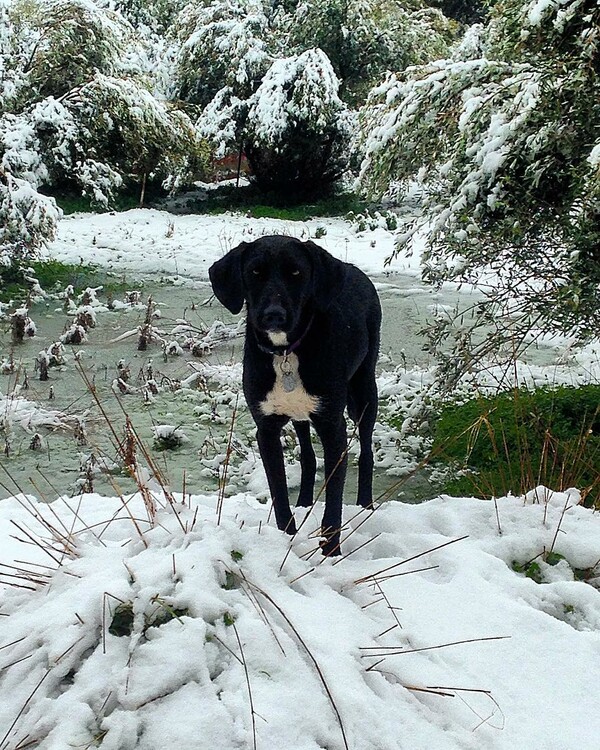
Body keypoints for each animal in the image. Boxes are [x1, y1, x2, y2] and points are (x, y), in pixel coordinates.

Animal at [209, 236, 382, 560]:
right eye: (255, 272)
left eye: (296, 273)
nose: (273, 315)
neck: (286, 352)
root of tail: (353, 270)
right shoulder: (266, 428)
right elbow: (278, 491)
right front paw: (285, 538)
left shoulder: (333, 426)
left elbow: (334, 497)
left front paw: (331, 551)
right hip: (300, 413)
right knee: (308, 456)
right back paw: (304, 502)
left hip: (364, 391)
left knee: (366, 450)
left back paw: (366, 506)